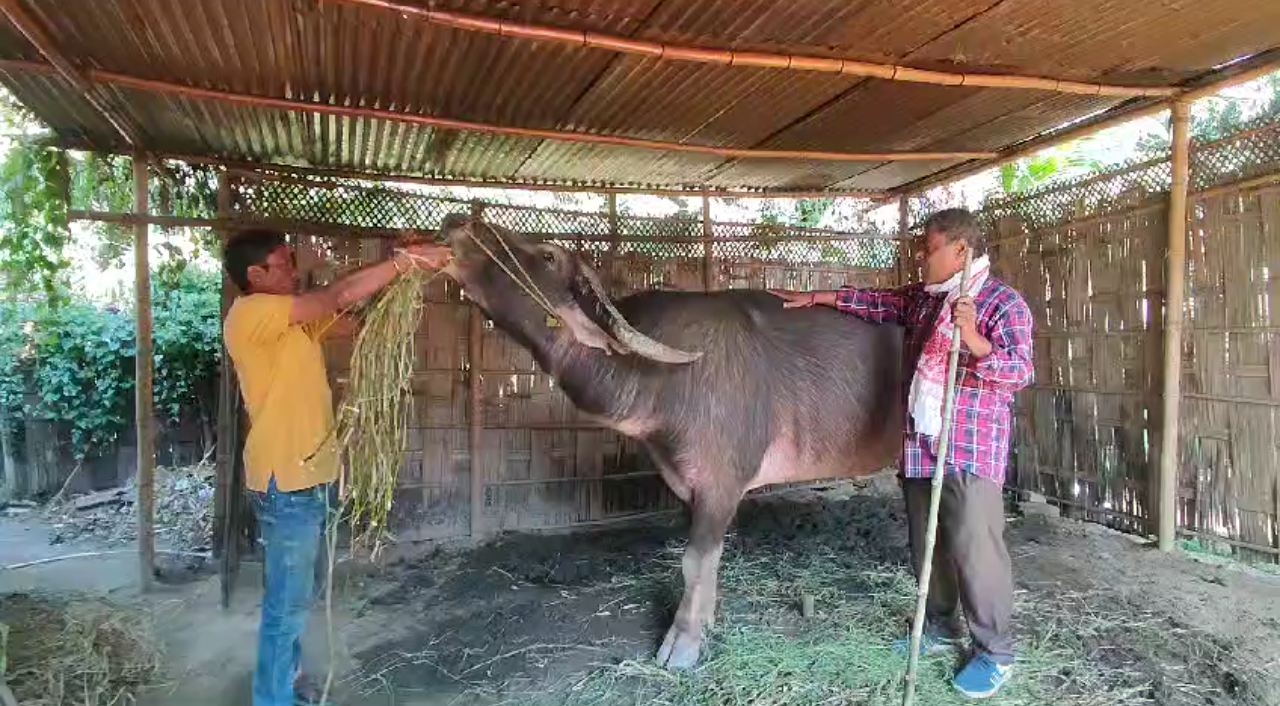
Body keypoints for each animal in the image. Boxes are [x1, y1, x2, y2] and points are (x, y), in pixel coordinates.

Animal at [440, 214, 911, 665]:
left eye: (549, 255)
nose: (458, 222)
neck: (664, 380)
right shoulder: (688, 485)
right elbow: (708, 563)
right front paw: (706, 619)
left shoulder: (721, 486)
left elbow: (693, 562)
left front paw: (682, 643)